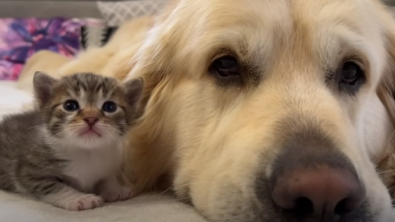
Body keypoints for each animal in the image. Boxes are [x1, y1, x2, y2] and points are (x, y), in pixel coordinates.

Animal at [0, 72, 144, 211]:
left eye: (110, 107)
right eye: (70, 106)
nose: (91, 118)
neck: (86, 153)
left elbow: (107, 177)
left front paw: (115, 188)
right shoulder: (28, 170)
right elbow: (52, 186)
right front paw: (79, 198)